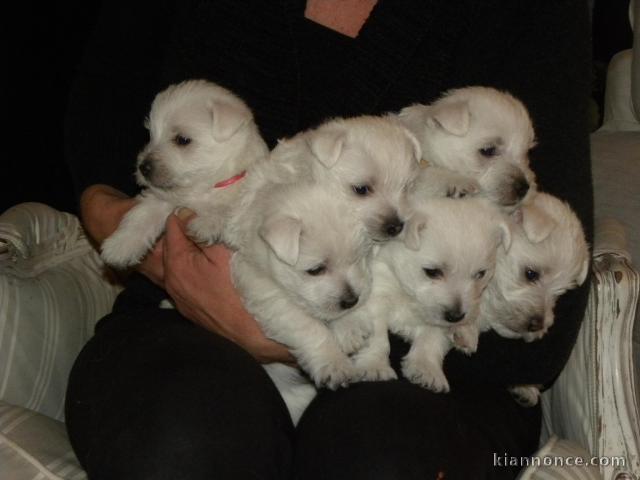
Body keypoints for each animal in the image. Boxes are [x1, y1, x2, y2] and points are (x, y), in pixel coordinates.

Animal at [99, 79, 268, 266]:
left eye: (182, 140)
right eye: (150, 135)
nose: (143, 167)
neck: (205, 188)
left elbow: (230, 207)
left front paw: (208, 222)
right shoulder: (165, 197)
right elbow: (143, 215)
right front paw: (119, 246)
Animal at [231, 182, 376, 422]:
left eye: (356, 258)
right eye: (316, 270)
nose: (351, 301)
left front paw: (350, 327)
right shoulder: (267, 293)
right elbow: (311, 327)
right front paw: (334, 363)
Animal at [350, 197, 510, 392]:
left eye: (481, 274)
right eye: (432, 272)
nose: (456, 317)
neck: (410, 294)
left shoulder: (438, 321)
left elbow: (431, 339)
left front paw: (427, 369)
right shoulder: (379, 293)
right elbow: (377, 336)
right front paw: (374, 366)